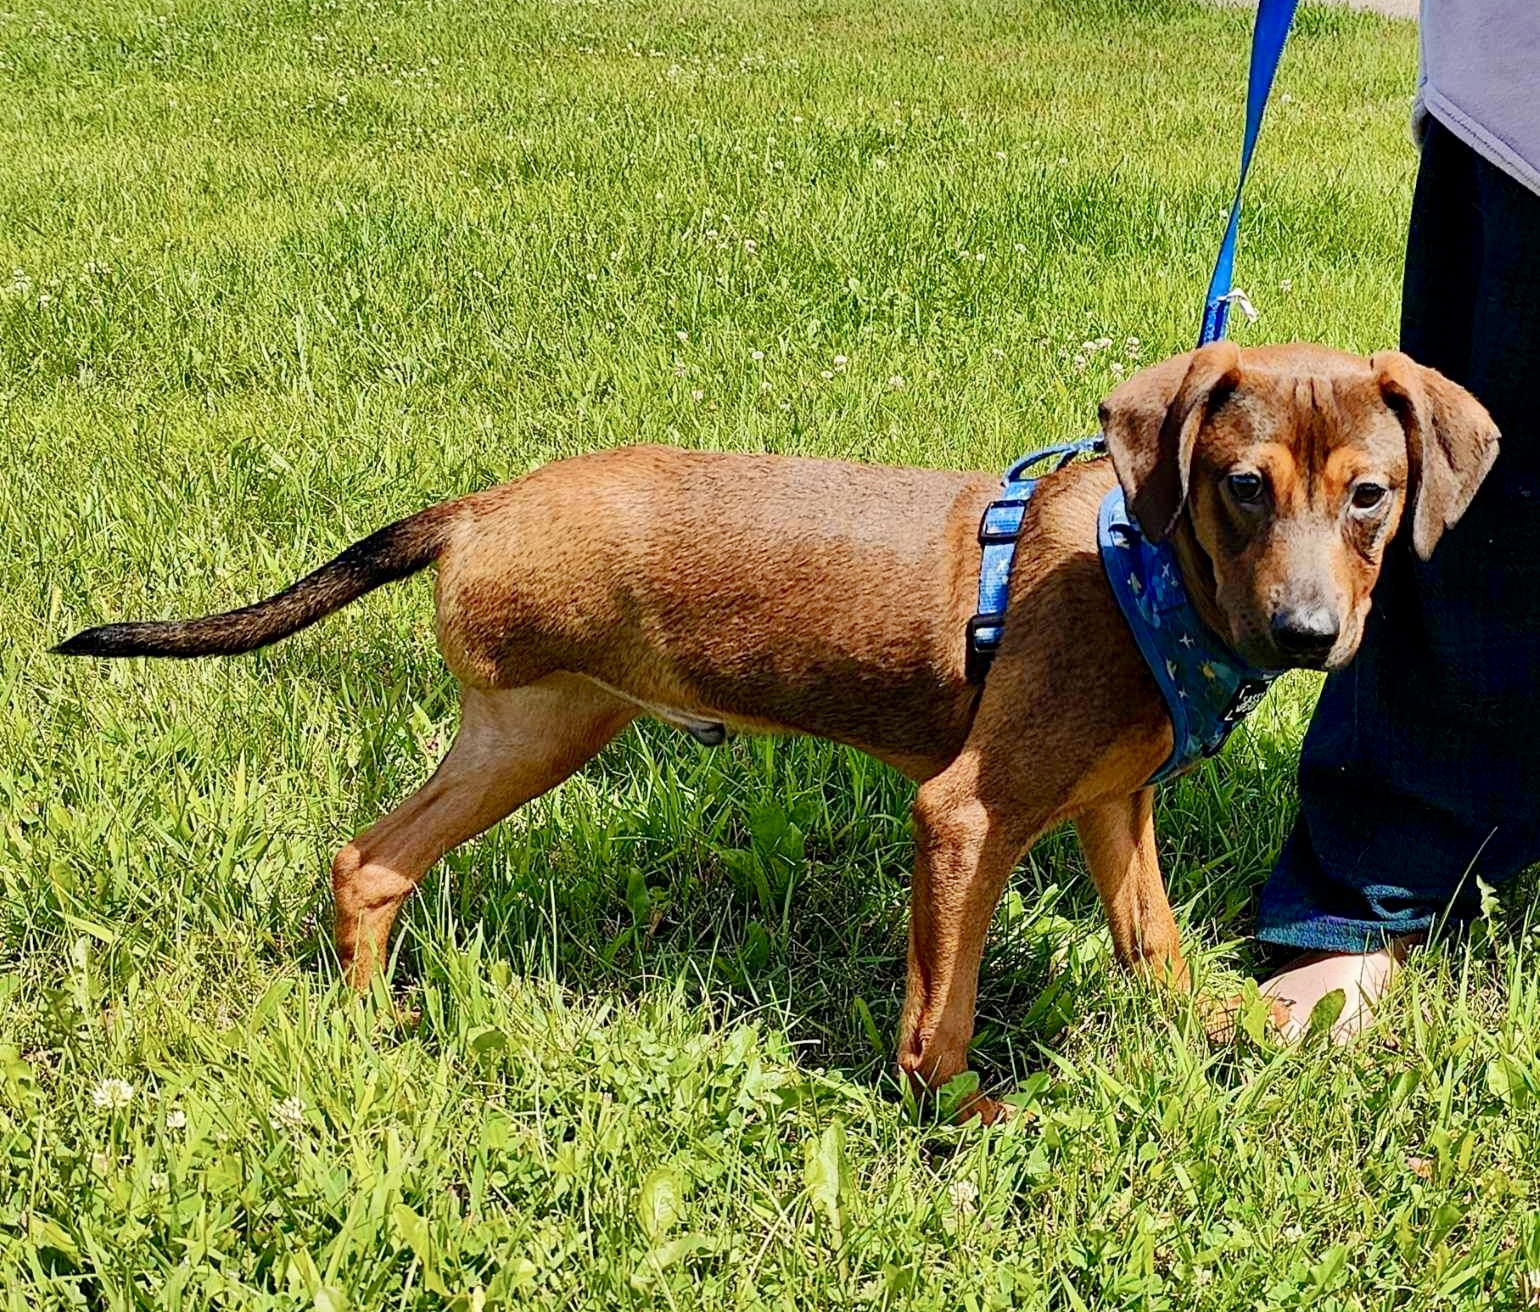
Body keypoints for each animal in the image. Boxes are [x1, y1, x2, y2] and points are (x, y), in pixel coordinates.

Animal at [56, 340, 1490, 1114]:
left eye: (1370, 496)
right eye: (1243, 487)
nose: (1307, 633)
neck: (1148, 581)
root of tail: (480, 505)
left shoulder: (1107, 806)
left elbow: (1157, 951)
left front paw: (1223, 1045)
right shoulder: (966, 813)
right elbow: (940, 1008)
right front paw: (954, 1115)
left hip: (535, 724)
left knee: (369, 863)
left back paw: (371, 1029)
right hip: (541, 725)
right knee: (375, 859)